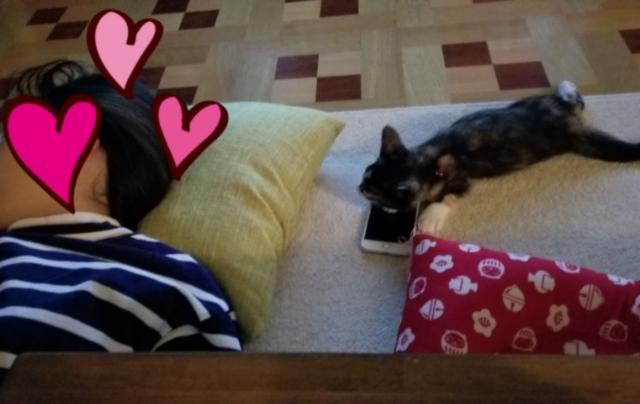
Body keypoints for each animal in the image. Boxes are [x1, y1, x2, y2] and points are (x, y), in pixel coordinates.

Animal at [359, 81, 640, 234]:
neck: (428, 157)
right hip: (529, 103)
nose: (359, 187)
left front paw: (429, 218)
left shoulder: (461, 179)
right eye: (365, 176)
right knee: (573, 99)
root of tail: (564, 120)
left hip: (585, 142)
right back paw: (566, 85)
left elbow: (449, 196)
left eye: (372, 192)